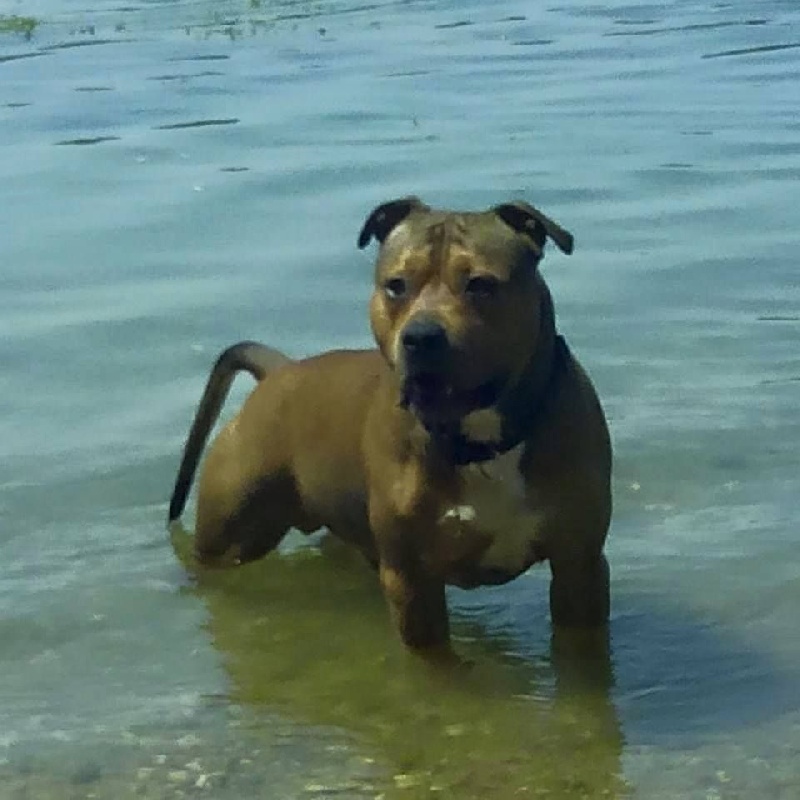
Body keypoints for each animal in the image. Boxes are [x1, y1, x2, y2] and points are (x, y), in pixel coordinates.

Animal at [168, 197, 612, 651]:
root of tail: (280, 371)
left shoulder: (579, 564)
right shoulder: (410, 578)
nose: (421, 336)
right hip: (231, 534)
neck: (480, 442)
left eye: (480, 284)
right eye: (396, 285)